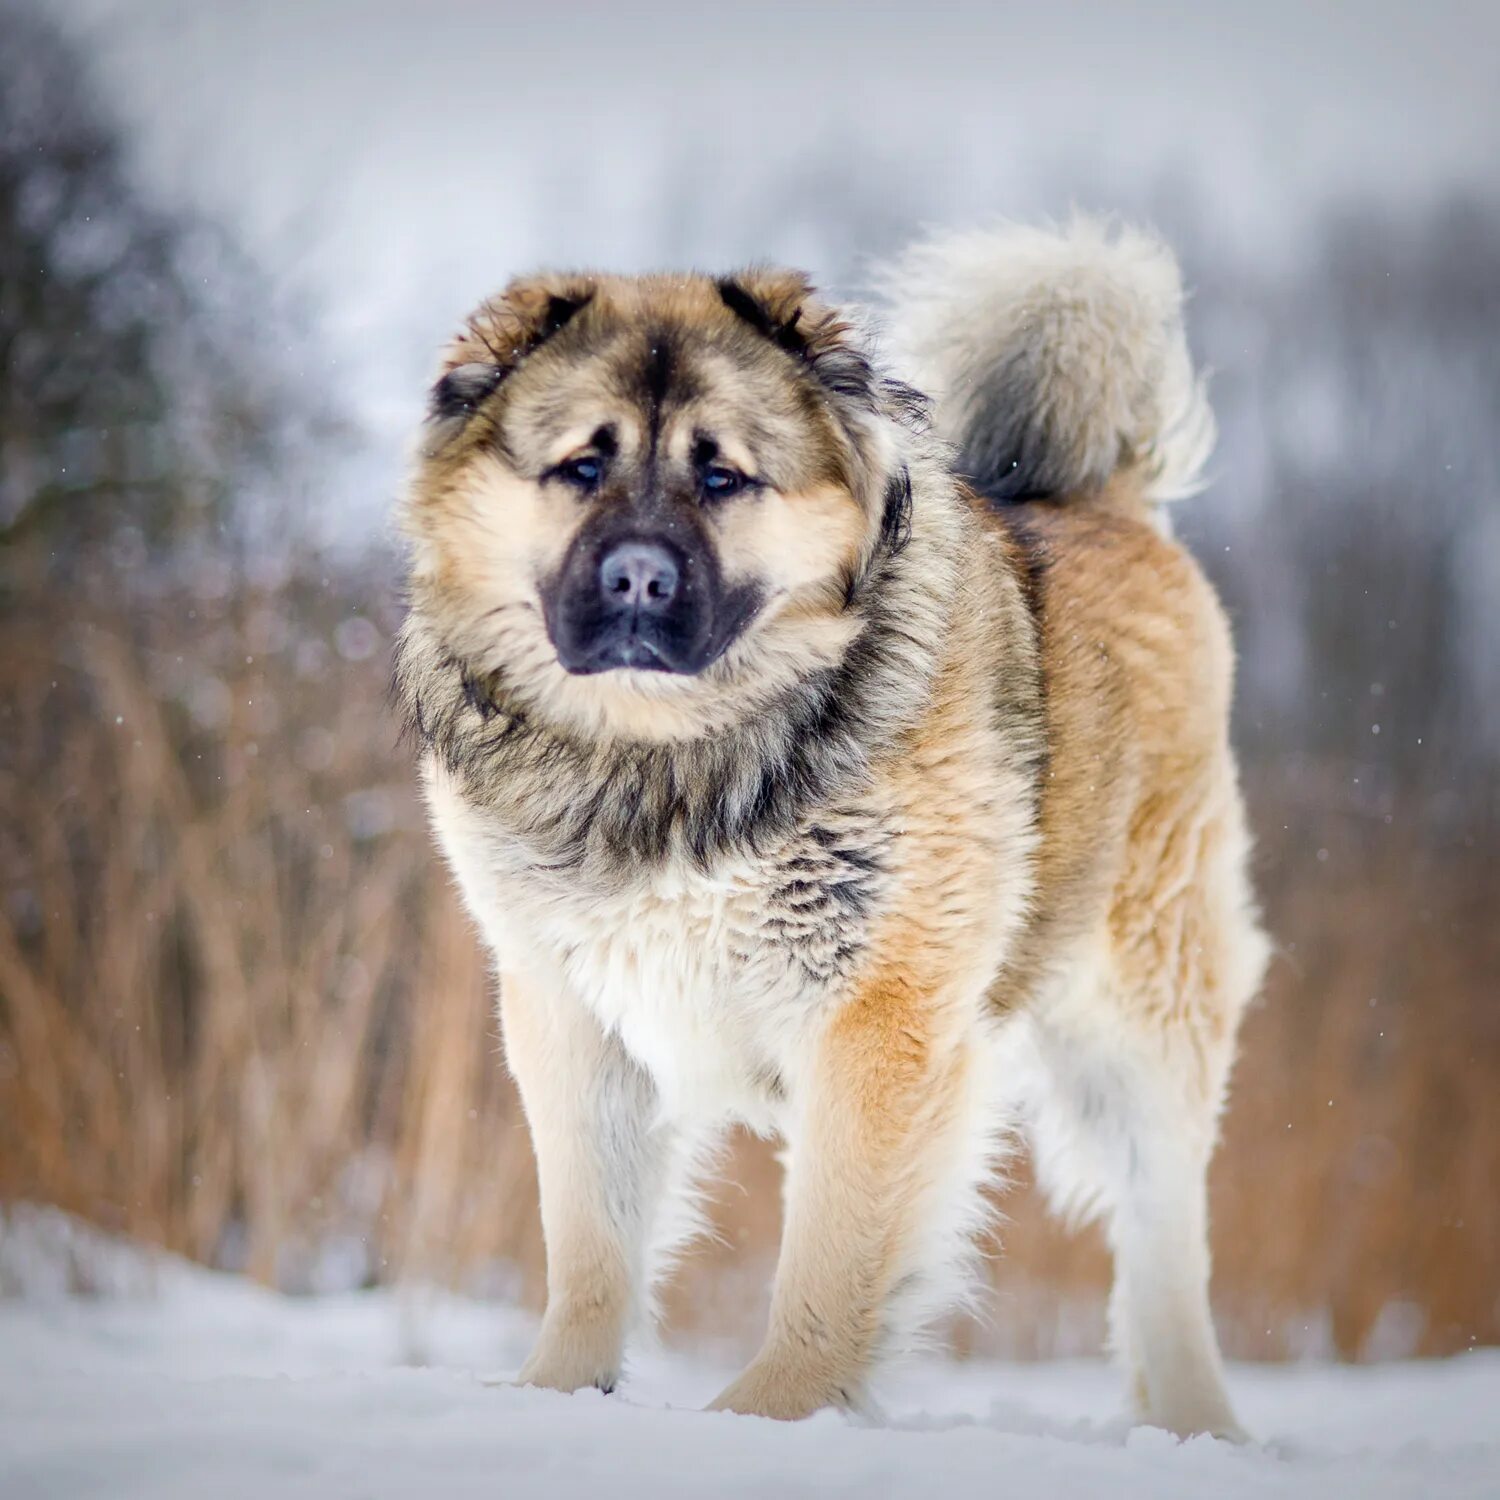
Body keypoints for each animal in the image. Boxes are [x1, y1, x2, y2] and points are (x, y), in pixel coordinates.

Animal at [390, 217, 1266, 1434]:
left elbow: (832, 1257)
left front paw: (773, 1415)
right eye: (582, 467)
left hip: (1139, 1018)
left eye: (721, 476)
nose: (638, 577)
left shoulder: (878, 1019)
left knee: (1163, 1240)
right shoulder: (576, 1020)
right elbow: (592, 1246)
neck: (673, 763)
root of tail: (1106, 497)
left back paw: (1193, 1426)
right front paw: (560, 1394)